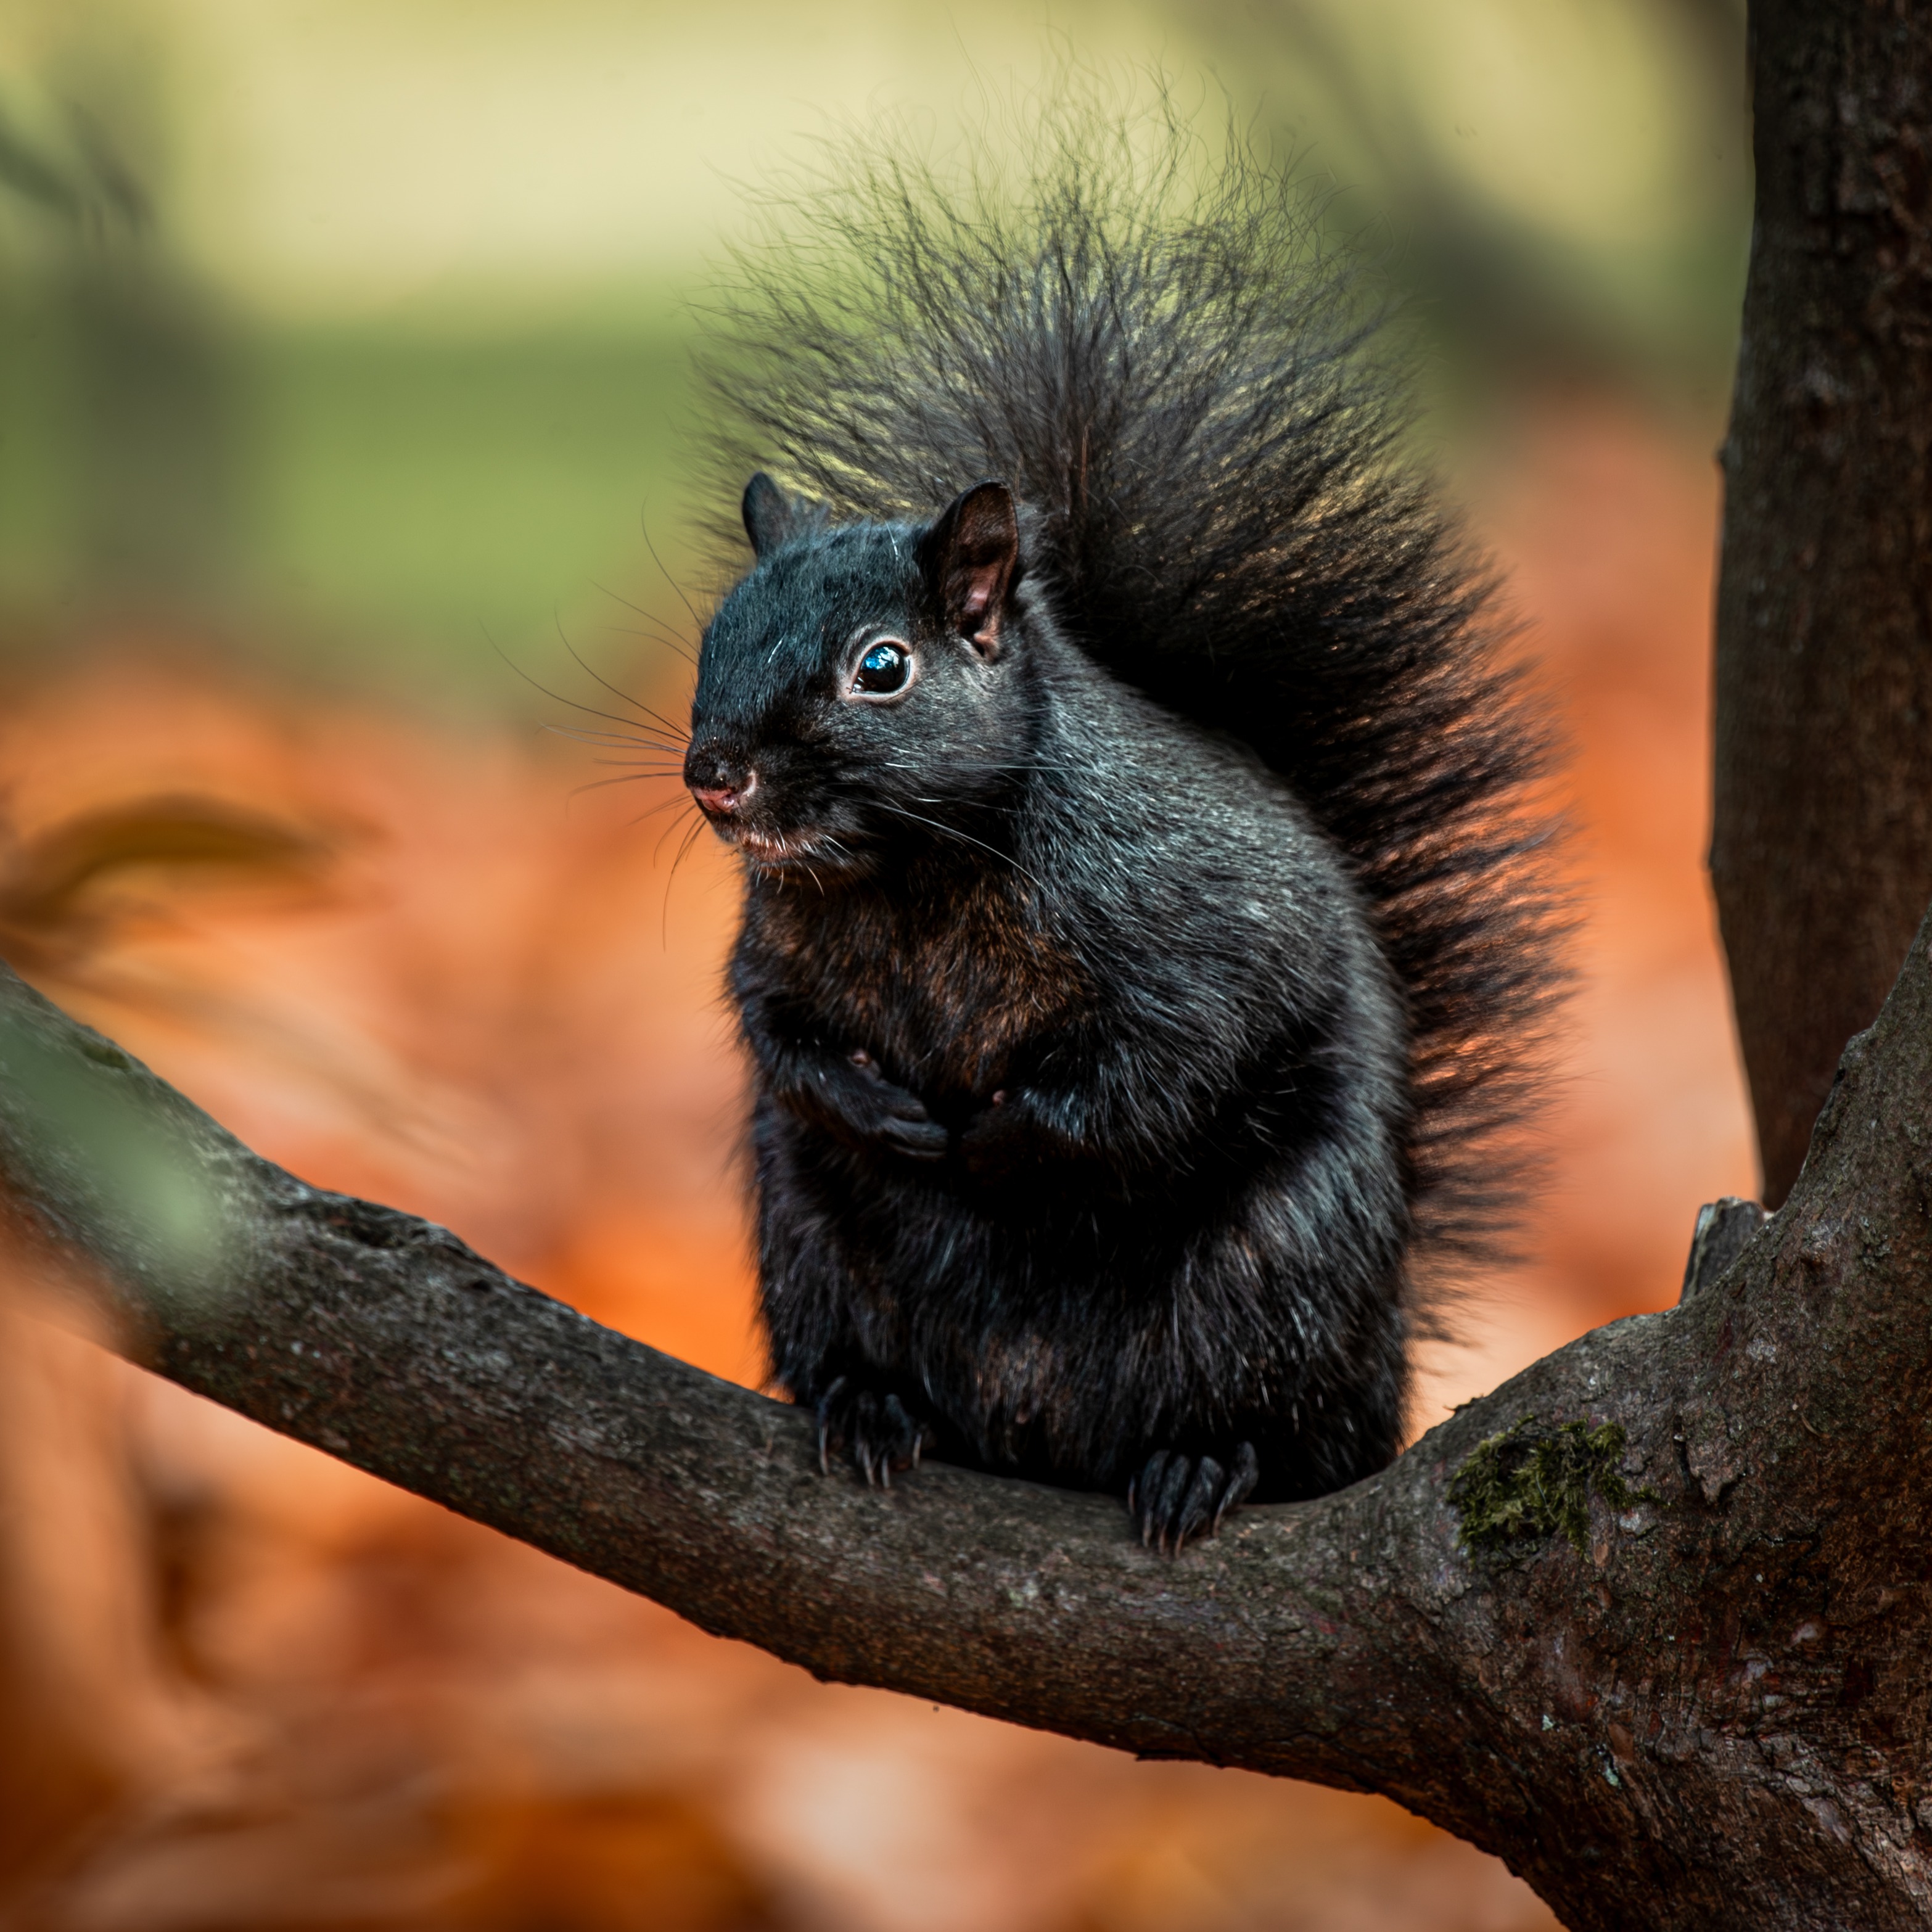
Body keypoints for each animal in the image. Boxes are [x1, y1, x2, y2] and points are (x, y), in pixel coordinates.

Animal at [677, 122, 1563, 1552]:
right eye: (714, 635)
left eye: (882, 667)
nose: (715, 779)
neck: (915, 874)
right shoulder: (780, 950)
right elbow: (778, 1030)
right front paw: (879, 1105)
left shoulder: (1197, 933)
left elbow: (1155, 1075)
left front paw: (992, 1138)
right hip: (811, 1244)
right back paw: (870, 1405)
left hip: (1276, 1278)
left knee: (1267, 1420)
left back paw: (1203, 1462)